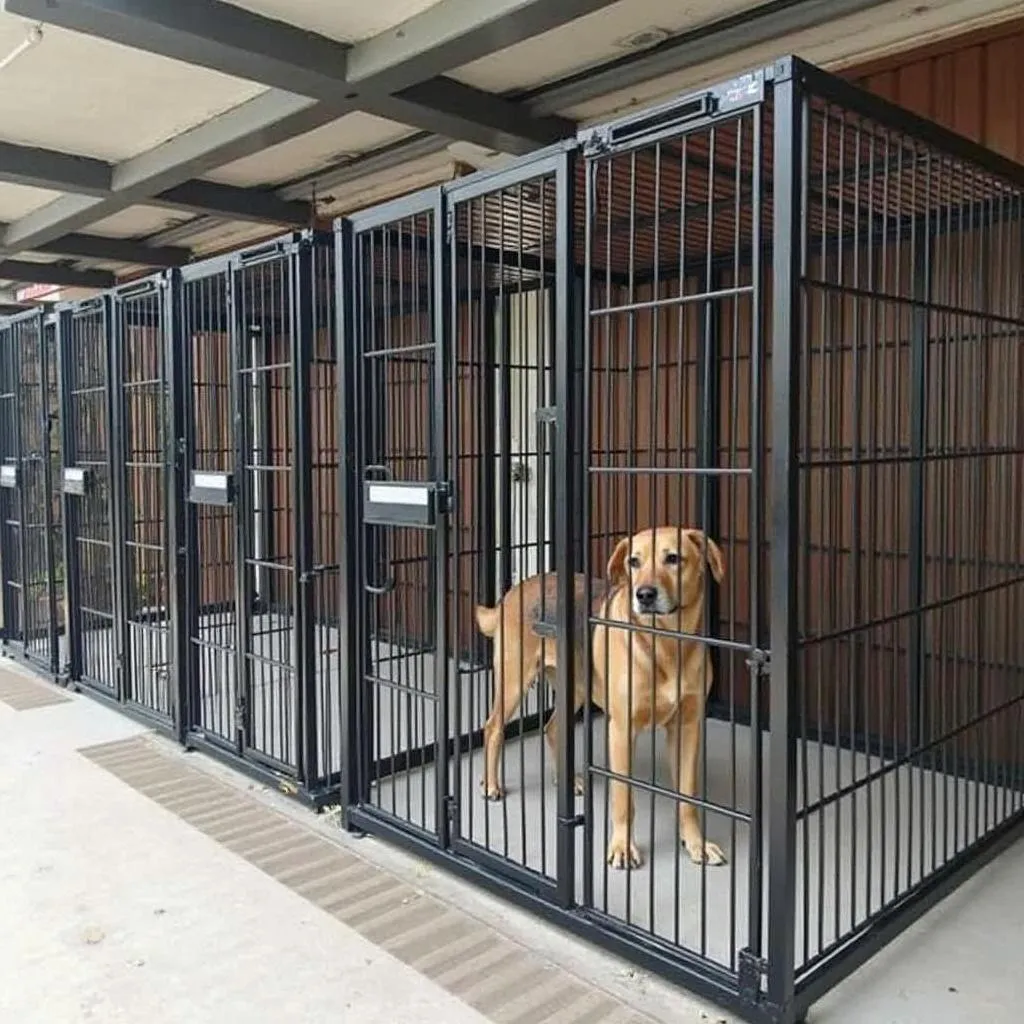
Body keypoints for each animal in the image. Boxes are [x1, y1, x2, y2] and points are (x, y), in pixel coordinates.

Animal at [473, 528, 729, 872]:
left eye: (673, 558)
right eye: (634, 562)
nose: (644, 595)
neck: (665, 643)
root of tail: (515, 590)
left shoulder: (687, 728)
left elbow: (688, 797)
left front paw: (696, 843)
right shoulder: (621, 730)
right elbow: (623, 798)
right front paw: (622, 847)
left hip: (576, 688)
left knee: (552, 728)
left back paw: (568, 781)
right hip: (514, 681)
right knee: (492, 728)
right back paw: (491, 785)